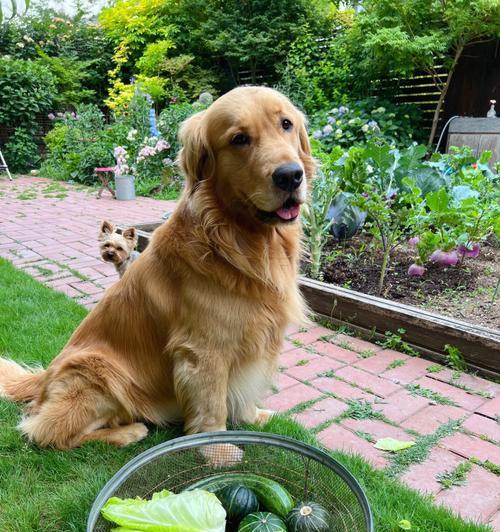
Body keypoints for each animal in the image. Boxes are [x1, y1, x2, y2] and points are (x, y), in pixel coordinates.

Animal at [0, 86, 312, 458]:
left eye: (286, 124)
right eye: (239, 139)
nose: (291, 175)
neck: (237, 243)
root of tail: (45, 376)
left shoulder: (258, 339)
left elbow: (245, 392)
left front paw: (254, 417)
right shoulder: (203, 352)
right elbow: (213, 407)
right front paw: (219, 452)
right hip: (97, 371)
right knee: (45, 431)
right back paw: (128, 432)